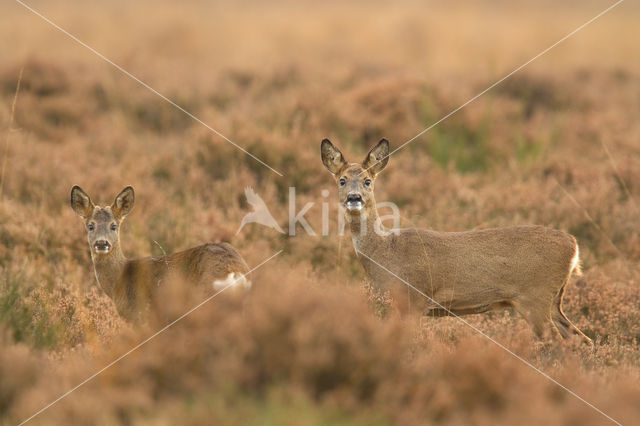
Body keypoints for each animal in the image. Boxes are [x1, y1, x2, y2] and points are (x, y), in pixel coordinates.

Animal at [70, 185, 250, 322]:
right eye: (90, 225)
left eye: (113, 226)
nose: (101, 243)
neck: (119, 280)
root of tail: (236, 271)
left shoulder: (141, 316)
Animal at [322, 138, 592, 344]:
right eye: (341, 180)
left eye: (368, 181)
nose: (354, 198)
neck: (384, 253)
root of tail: (573, 245)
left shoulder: (413, 298)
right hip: (552, 300)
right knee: (581, 339)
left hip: (535, 297)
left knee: (558, 342)